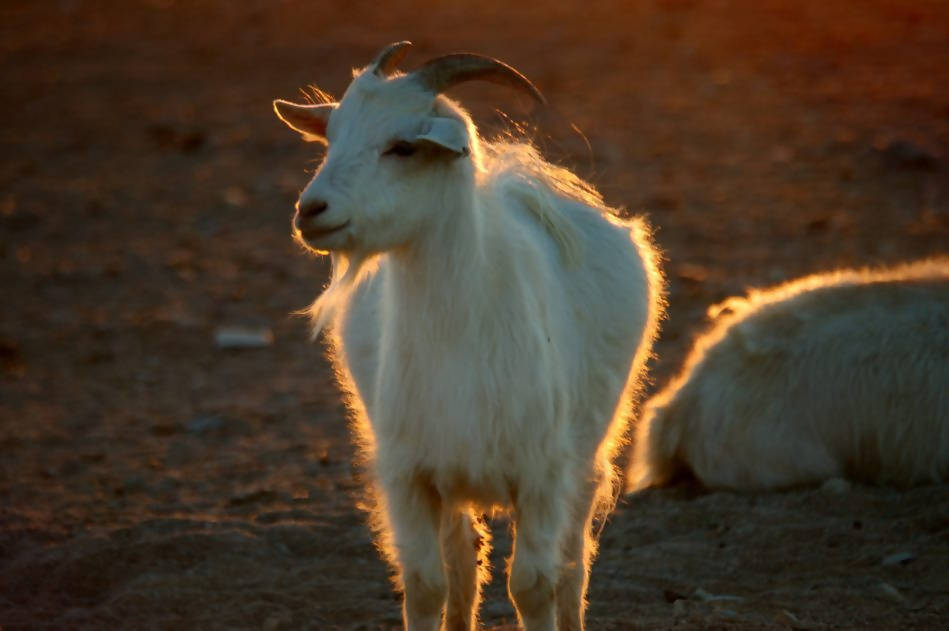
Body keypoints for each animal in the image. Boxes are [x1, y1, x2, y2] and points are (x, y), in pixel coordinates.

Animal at [270, 42, 664, 628]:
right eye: (333, 136)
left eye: (403, 146)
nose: (310, 210)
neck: (459, 335)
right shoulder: (409, 476)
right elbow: (425, 585)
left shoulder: (543, 476)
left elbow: (534, 586)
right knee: (461, 559)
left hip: (586, 454)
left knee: (573, 561)